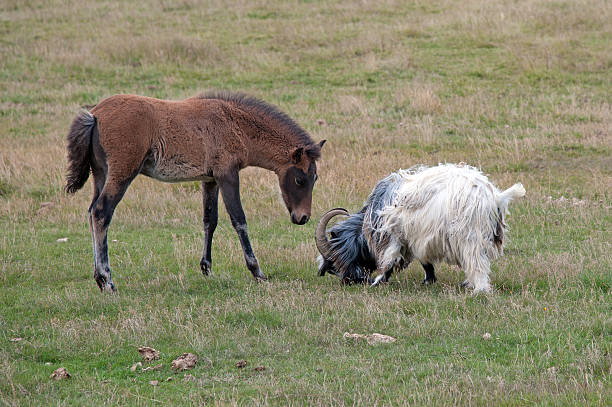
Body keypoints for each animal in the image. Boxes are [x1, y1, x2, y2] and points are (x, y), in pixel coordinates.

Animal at [316, 164, 524, 294]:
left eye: (335, 259)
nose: (348, 282)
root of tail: (495, 197)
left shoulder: (394, 237)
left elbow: (389, 260)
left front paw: (378, 282)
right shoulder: (416, 239)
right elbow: (424, 261)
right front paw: (428, 280)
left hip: (470, 236)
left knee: (477, 264)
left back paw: (479, 290)